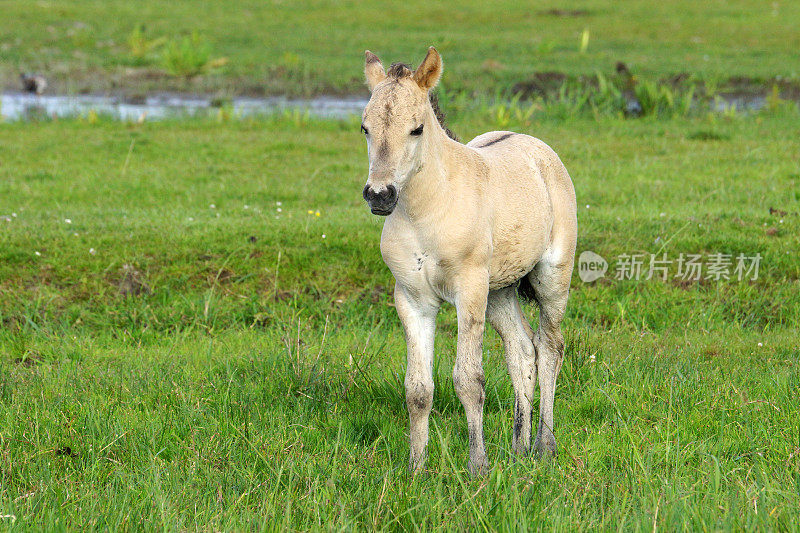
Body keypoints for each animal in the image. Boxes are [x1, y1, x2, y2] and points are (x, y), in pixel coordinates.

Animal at [360, 46, 576, 474]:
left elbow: (468, 380)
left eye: (416, 129)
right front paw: (417, 468)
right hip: (500, 291)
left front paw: (478, 466)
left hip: (551, 280)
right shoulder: (412, 301)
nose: (380, 195)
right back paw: (519, 448)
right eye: (365, 129)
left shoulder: (469, 294)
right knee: (522, 352)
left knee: (550, 349)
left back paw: (544, 446)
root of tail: (536, 146)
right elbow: (418, 389)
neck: (427, 212)